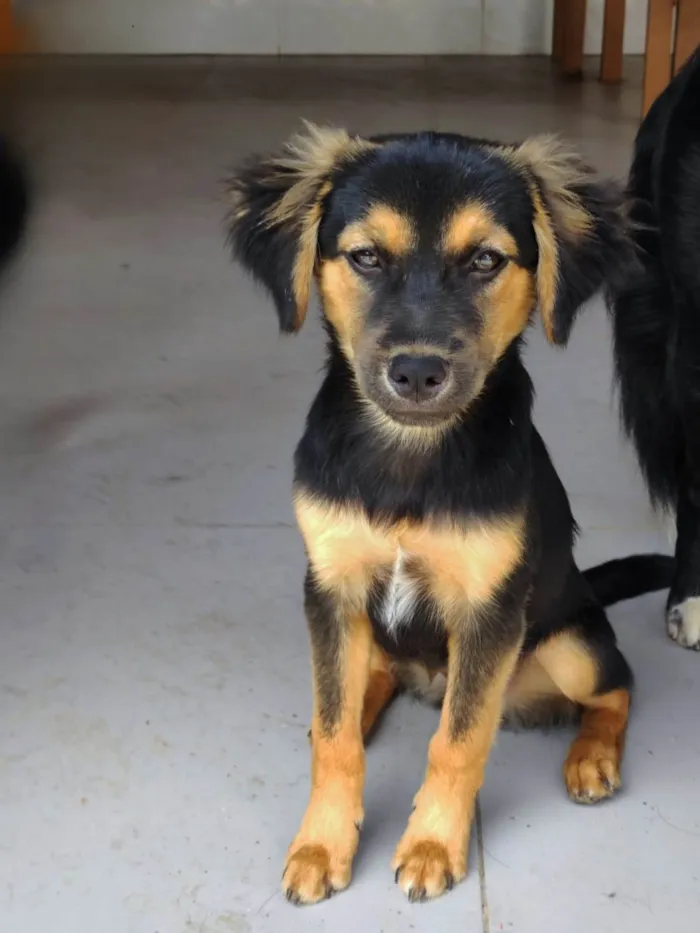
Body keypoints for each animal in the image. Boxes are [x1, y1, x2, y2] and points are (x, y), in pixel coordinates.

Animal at [227, 124, 668, 904]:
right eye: (366, 257)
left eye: (486, 260)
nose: (417, 372)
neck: (412, 453)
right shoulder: (330, 588)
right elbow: (336, 738)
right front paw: (321, 843)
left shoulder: (489, 612)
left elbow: (457, 743)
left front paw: (432, 844)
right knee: (358, 687)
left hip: (569, 643)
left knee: (616, 687)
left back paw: (592, 756)